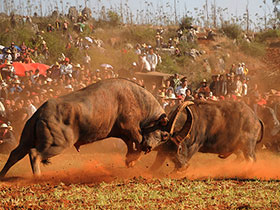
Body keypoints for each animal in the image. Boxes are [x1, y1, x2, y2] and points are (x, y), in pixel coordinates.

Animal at [0, 79, 168, 177]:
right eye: (161, 134)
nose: (149, 148)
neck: (137, 98)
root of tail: (40, 113)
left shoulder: (125, 133)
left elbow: (132, 145)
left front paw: (130, 160)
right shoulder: (130, 127)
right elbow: (137, 141)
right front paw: (132, 159)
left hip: (26, 140)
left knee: (15, 154)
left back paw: (2, 176)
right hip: (57, 144)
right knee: (34, 154)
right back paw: (38, 178)